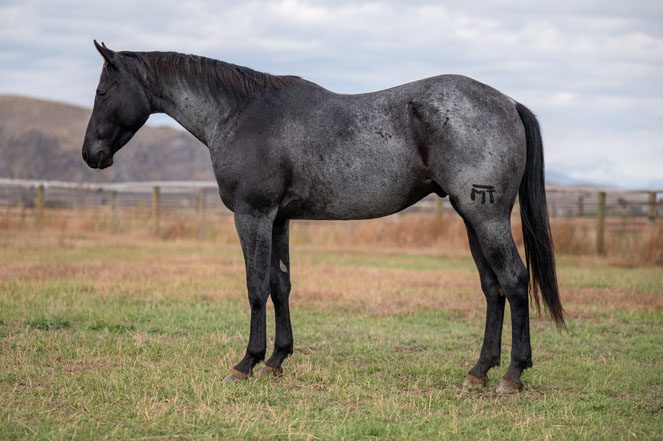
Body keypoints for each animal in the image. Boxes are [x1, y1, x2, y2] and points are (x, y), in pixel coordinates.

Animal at [82, 40, 564, 394]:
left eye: (102, 92)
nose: (91, 155)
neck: (240, 114)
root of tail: (508, 103)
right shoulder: (278, 220)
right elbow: (280, 285)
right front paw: (277, 359)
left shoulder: (253, 216)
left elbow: (255, 287)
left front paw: (247, 362)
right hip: (471, 219)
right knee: (493, 289)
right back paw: (479, 371)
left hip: (487, 219)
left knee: (515, 281)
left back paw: (512, 375)